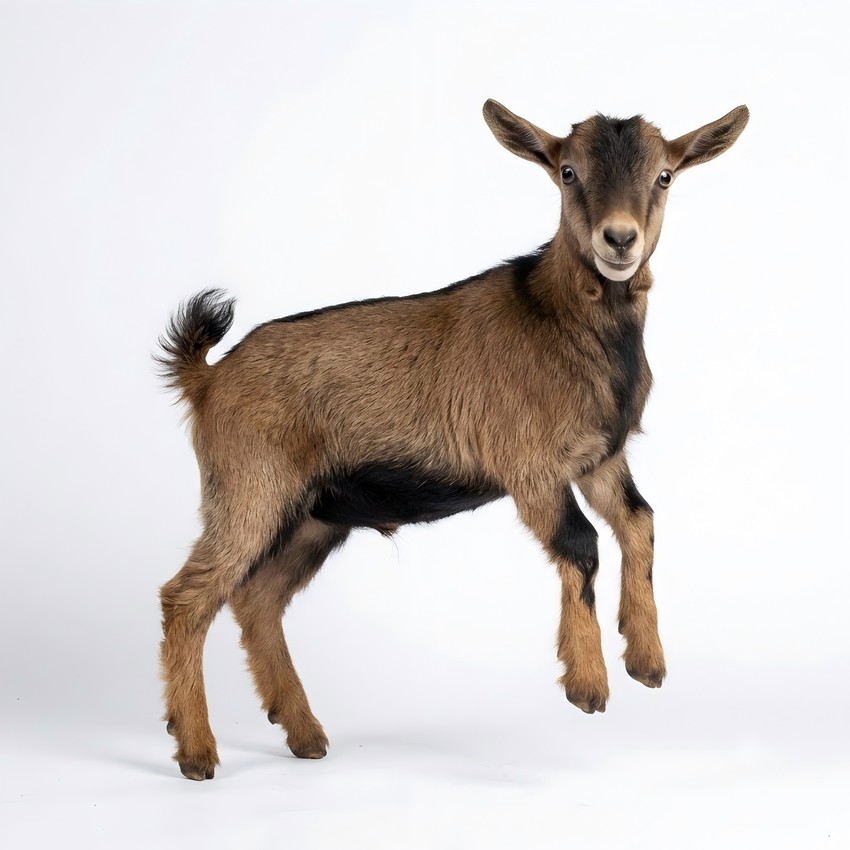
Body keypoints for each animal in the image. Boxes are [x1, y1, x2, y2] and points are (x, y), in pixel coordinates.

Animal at [157, 100, 748, 780]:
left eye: (665, 175)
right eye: (567, 171)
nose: (619, 239)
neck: (564, 321)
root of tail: (208, 379)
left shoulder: (600, 458)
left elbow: (639, 521)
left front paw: (645, 659)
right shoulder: (532, 467)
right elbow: (581, 544)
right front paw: (587, 684)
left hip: (316, 515)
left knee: (257, 599)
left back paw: (303, 733)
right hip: (250, 491)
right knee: (187, 598)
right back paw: (197, 751)